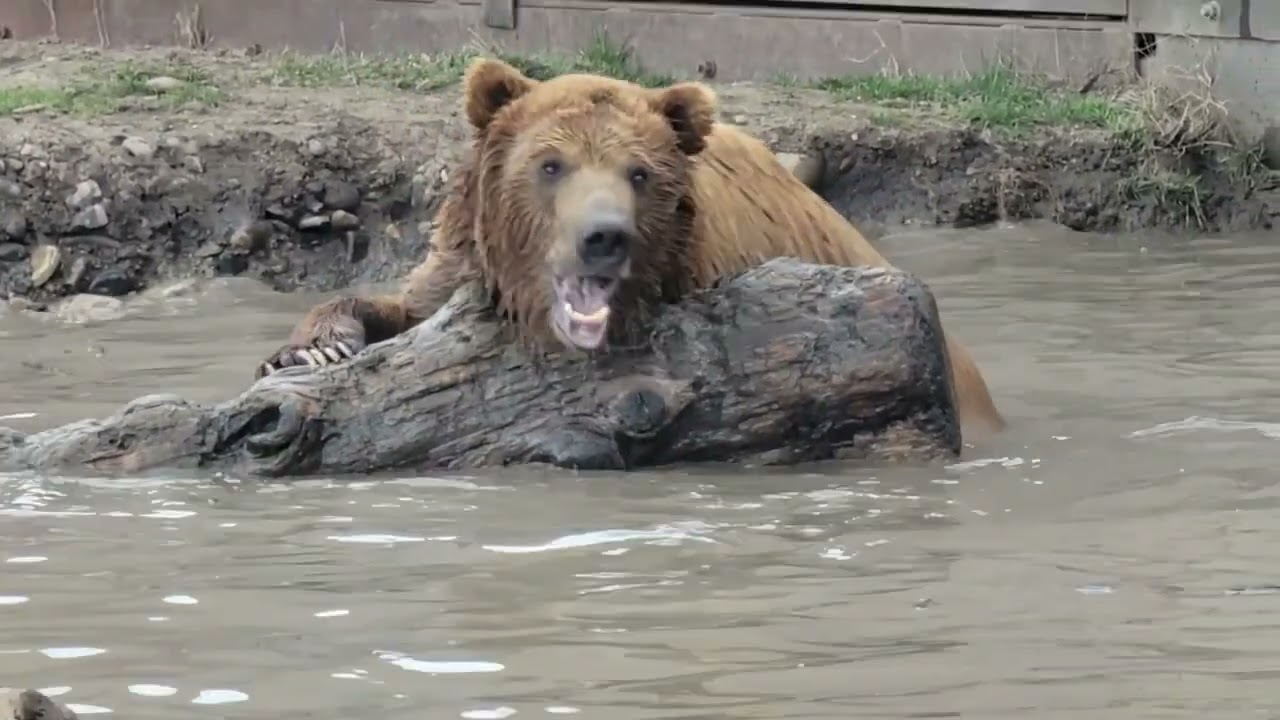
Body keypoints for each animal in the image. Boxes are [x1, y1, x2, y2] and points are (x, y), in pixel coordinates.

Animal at [257, 57, 1005, 439]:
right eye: (550, 164)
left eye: (639, 173)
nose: (603, 237)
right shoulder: (463, 258)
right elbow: (406, 303)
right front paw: (314, 348)